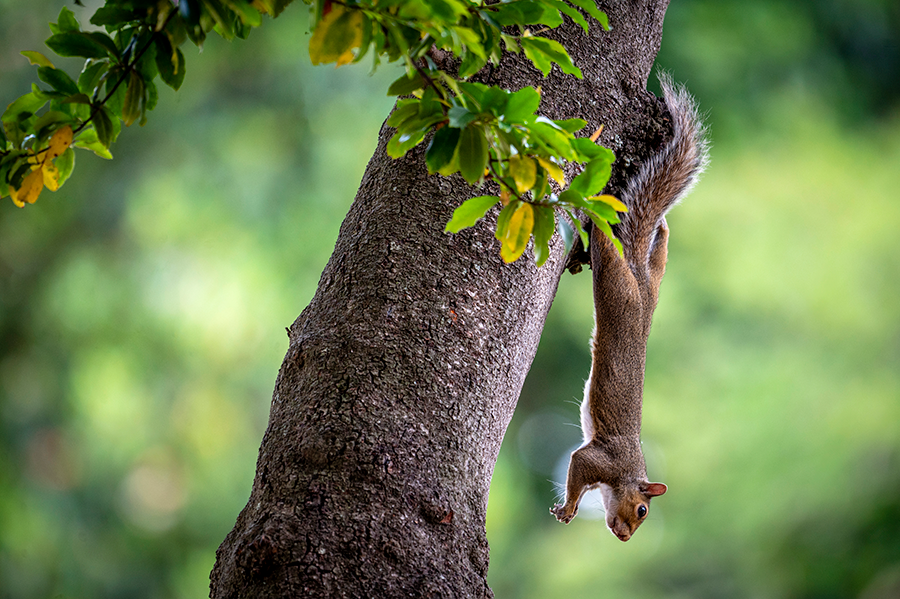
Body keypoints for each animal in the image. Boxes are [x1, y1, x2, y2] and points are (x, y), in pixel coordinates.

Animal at [548, 72, 712, 540]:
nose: (623, 537)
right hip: (616, 285)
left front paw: (569, 508)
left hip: (653, 281)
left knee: (660, 255)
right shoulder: (596, 459)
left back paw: (663, 231)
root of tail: (639, 278)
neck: (624, 475)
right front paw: (568, 509)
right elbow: (576, 467)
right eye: (642, 510)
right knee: (605, 238)